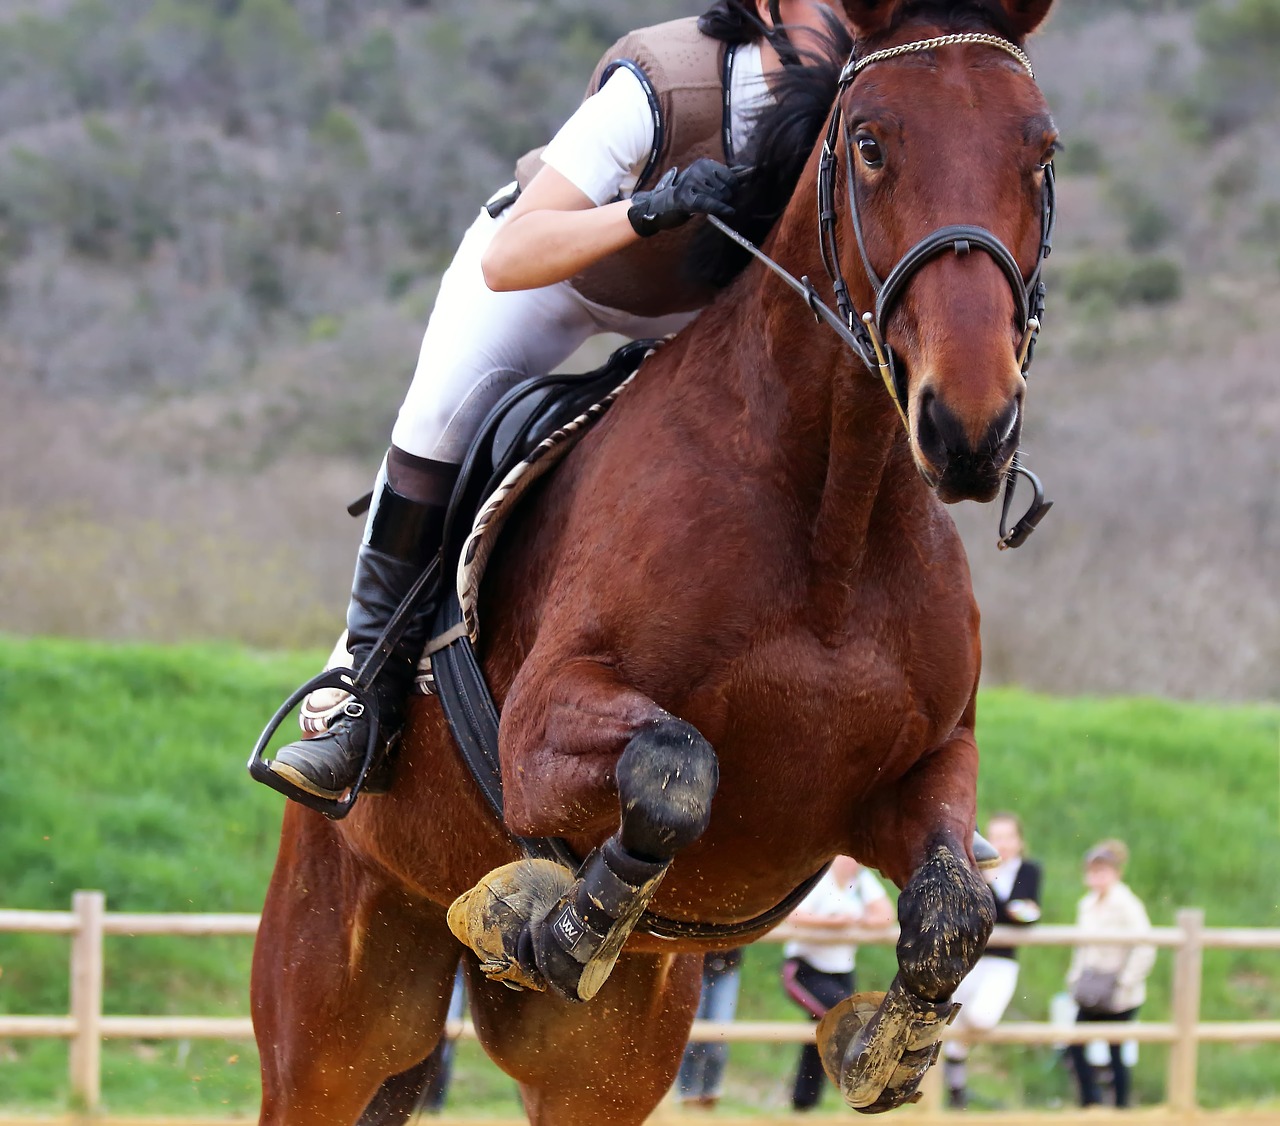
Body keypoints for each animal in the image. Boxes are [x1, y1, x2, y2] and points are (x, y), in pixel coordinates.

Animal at [249, 4, 1059, 1120]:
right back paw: (346, 745)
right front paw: (549, 923)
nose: (968, 427)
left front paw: (882, 1044)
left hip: (600, 1066)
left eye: (1042, 153)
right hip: (329, 1027)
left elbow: (954, 905)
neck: (834, 516)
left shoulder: (921, 773)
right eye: (869, 145)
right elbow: (676, 768)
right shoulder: (542, 730)